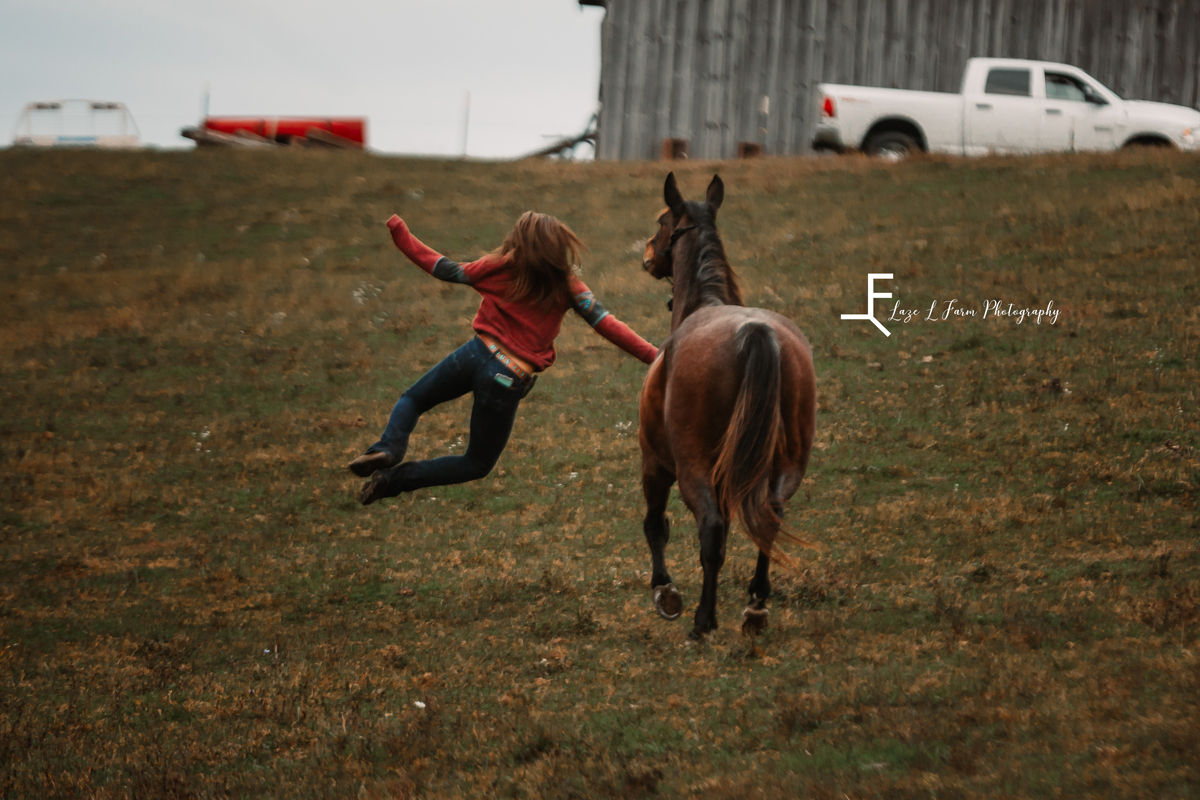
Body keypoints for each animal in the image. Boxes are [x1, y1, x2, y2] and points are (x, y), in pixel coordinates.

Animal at [638, 172, 816, 642]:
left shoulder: (654, 462)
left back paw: (703, 621)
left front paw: (665, 592)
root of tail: (755, 332)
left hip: (692, 466)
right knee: (769, 517)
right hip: (784, 465)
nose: (647, 255)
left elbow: (656, 525)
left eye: (661, 221)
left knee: (711, 526)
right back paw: (755, 608)